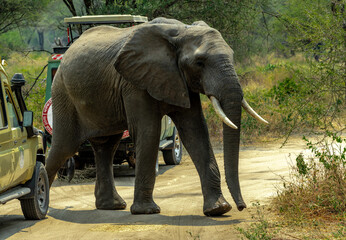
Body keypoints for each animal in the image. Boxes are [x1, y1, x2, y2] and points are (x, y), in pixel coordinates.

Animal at [46, 16, 268, 216]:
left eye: (232, 55)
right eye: (199, 62)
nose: (242, 207)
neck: (181, 31)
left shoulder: (179, 79)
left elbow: (195, 131)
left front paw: (219, 209)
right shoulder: (134, 82)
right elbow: (150, 132)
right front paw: (147, 211)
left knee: (106, 146)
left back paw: (112, 206)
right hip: (63, 93)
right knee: (65, 147)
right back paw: (44, 207)